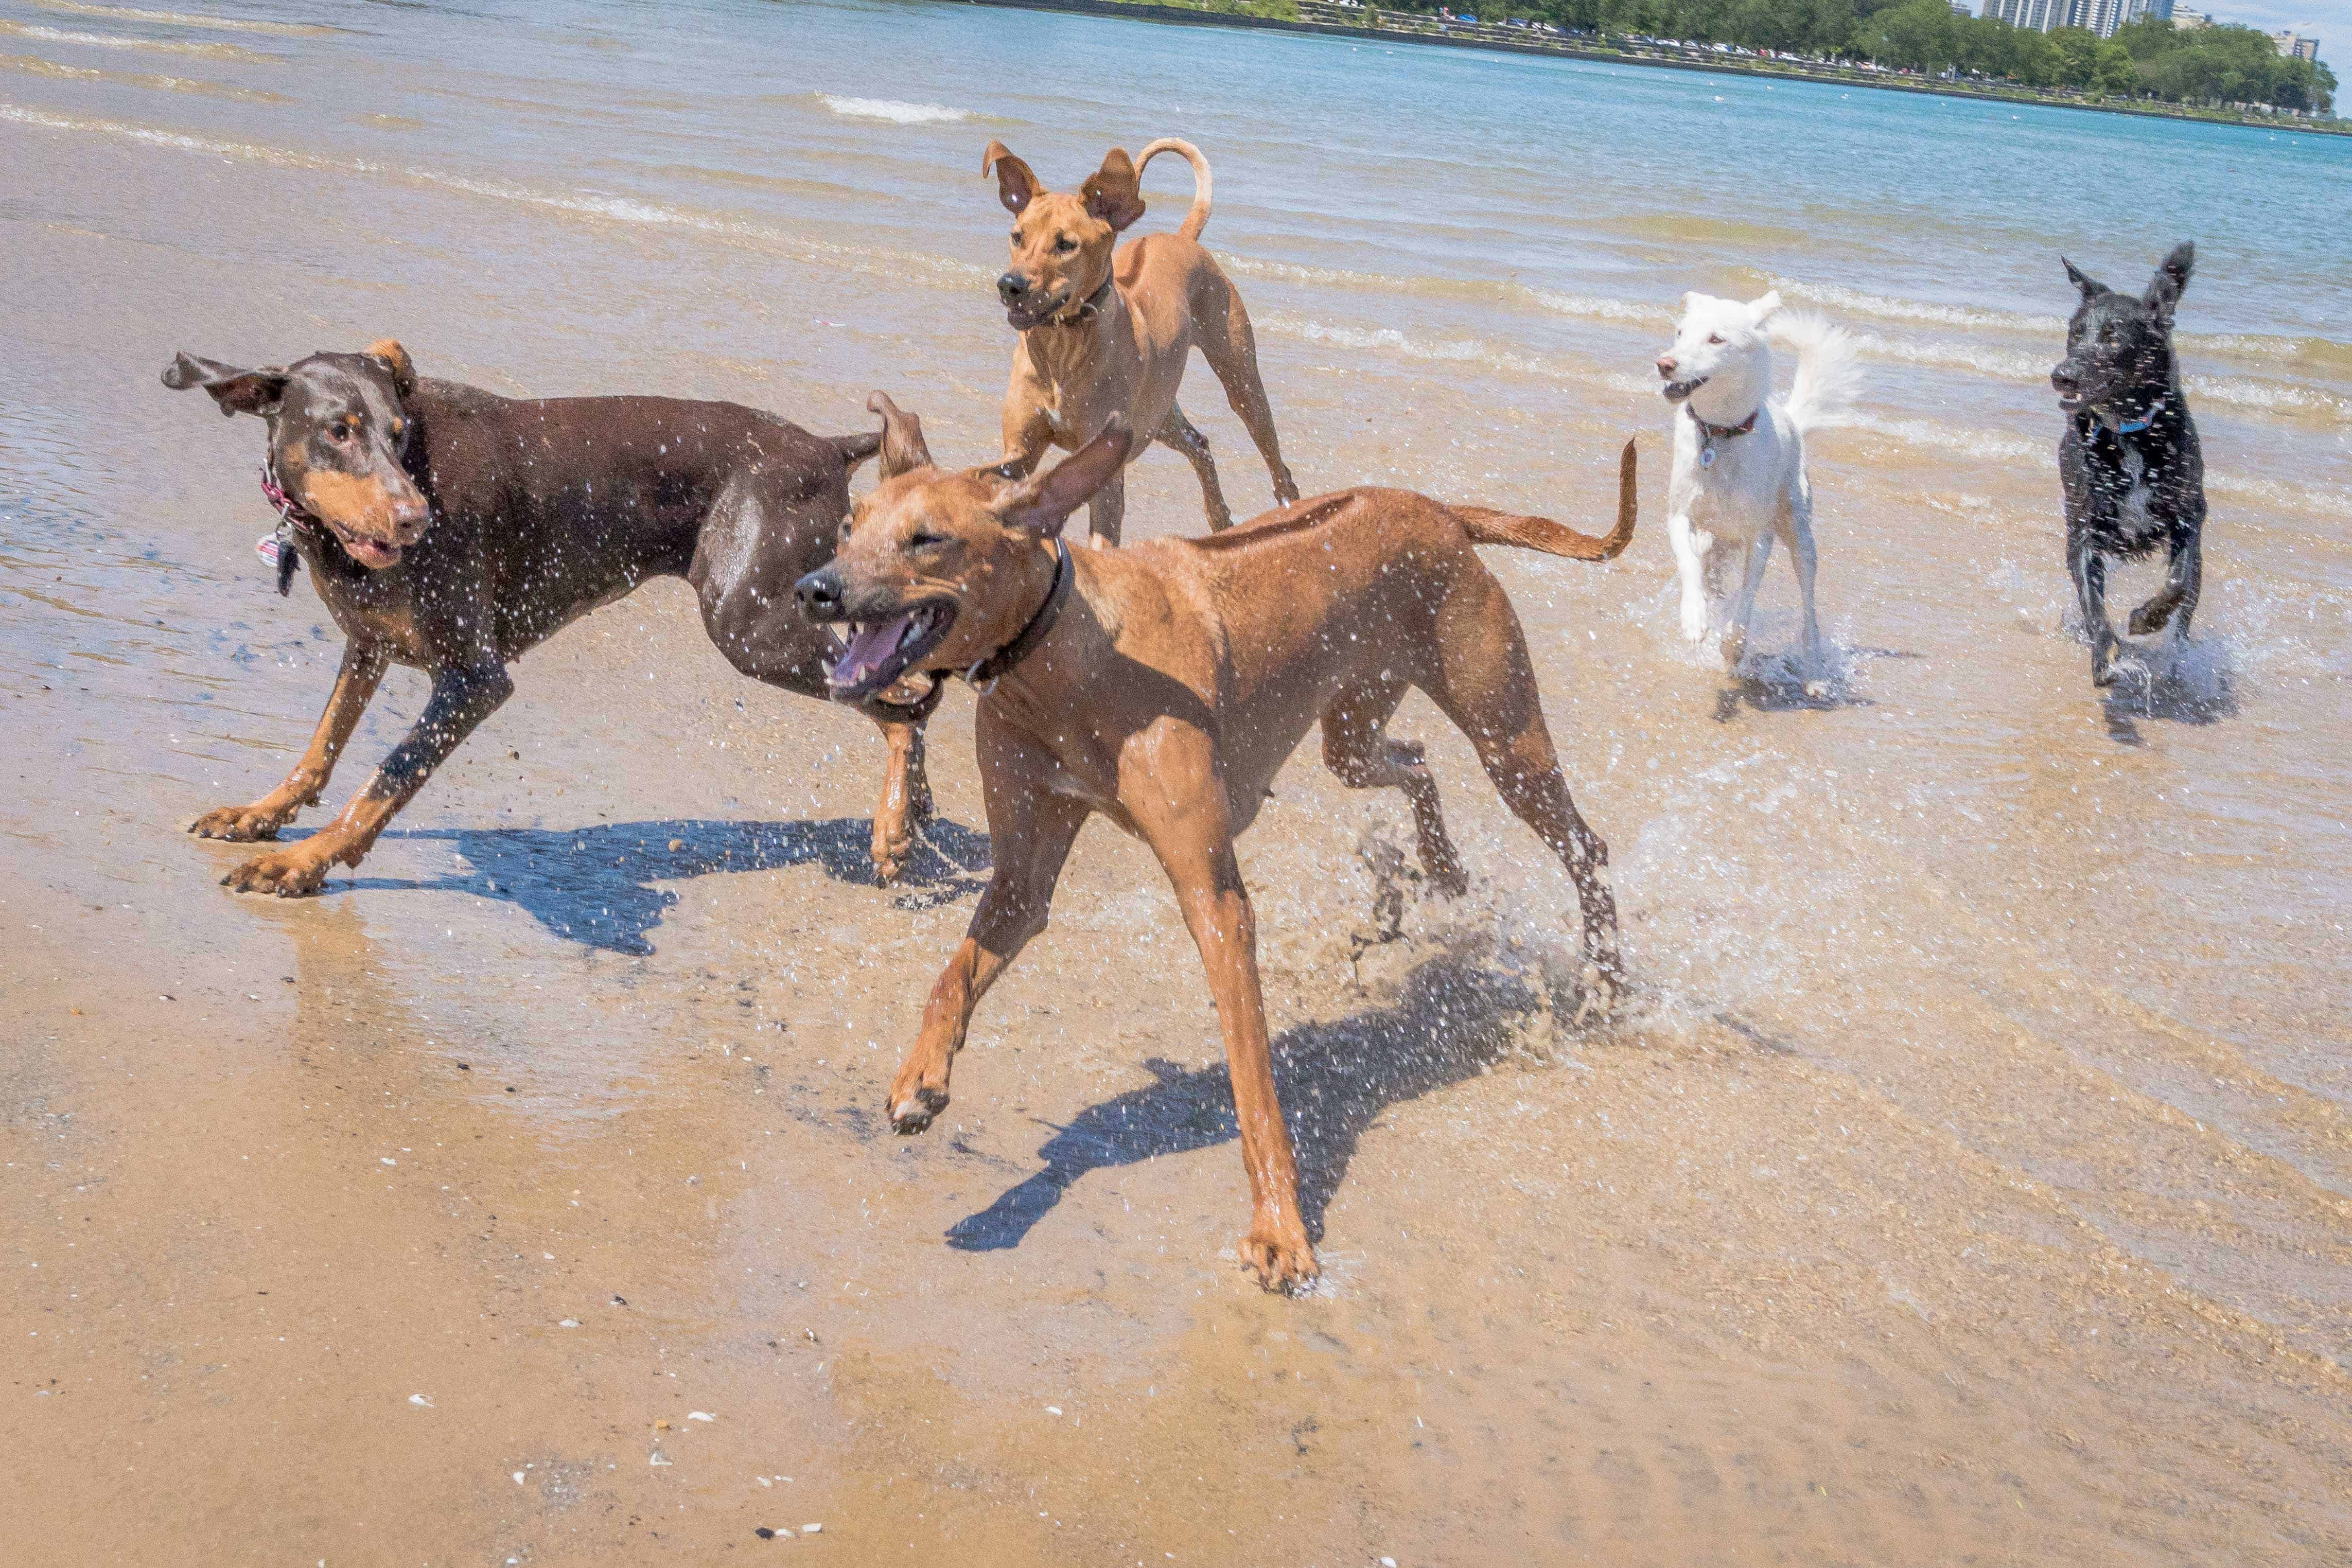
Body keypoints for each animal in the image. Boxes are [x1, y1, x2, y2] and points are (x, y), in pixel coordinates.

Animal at [166, 341, 941, 893]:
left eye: (398, 431)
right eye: (339, 431)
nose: (418, 517)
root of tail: (829, 447)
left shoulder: (475, 679)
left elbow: (387, 775)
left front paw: (303, 862)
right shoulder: (368, 644)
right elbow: (321, 746)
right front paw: (260, 814)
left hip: (749, 627)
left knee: (903, 702)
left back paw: (892, 828)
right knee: (904, 694)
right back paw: (914, 816)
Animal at [790, 399, 1637, 1297]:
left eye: (927, 539)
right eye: (847, 527)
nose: (814, 588)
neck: (1064, 656)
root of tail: (1435, 507)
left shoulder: (1214, 898)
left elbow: (1253, 1082)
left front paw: (1280, 1231)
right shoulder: (1019, 879)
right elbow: (952, 974)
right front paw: (921, 1079)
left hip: (1506, 739)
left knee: (1585, 843)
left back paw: (1604, 980)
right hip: (1351, 731)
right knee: (1412, 760)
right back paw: (1428, 873)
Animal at [978, 136, 1298, 552]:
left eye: (1066, 245)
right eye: (1018, 236)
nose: (1010, 285)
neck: (1062, 349)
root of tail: (1181, 238)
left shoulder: (1106, 469)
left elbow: (1103, 532)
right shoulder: (1019, 452)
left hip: (1239, 378)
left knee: (1274, 458)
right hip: (1158, 413)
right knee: (1199, 443)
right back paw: (1219, 516)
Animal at [1656, 291, 1853, 681]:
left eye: (1716, 339)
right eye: (1680, 332)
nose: (1664, 364)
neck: (1720, 433)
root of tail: (1792, 418)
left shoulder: (1761, 536)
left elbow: (1748, 594)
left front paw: (1734, 646)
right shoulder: (1680, 517)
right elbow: (1688, 564)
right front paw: (1694, 618)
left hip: (1801, 537)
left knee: (1809, 607)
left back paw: (1814, 673)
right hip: (1717, 544)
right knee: (1708, 567)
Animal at [2060, 242, 2201, 681]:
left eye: (2113, 337)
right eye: (2075, 333)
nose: (2061, 375)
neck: (2129, 432)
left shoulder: (2190, 516)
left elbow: (2177, 582)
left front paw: (2146, 619)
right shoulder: (2084, 530)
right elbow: (2093, 603)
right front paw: (2105, 652)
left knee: (2187, 603)